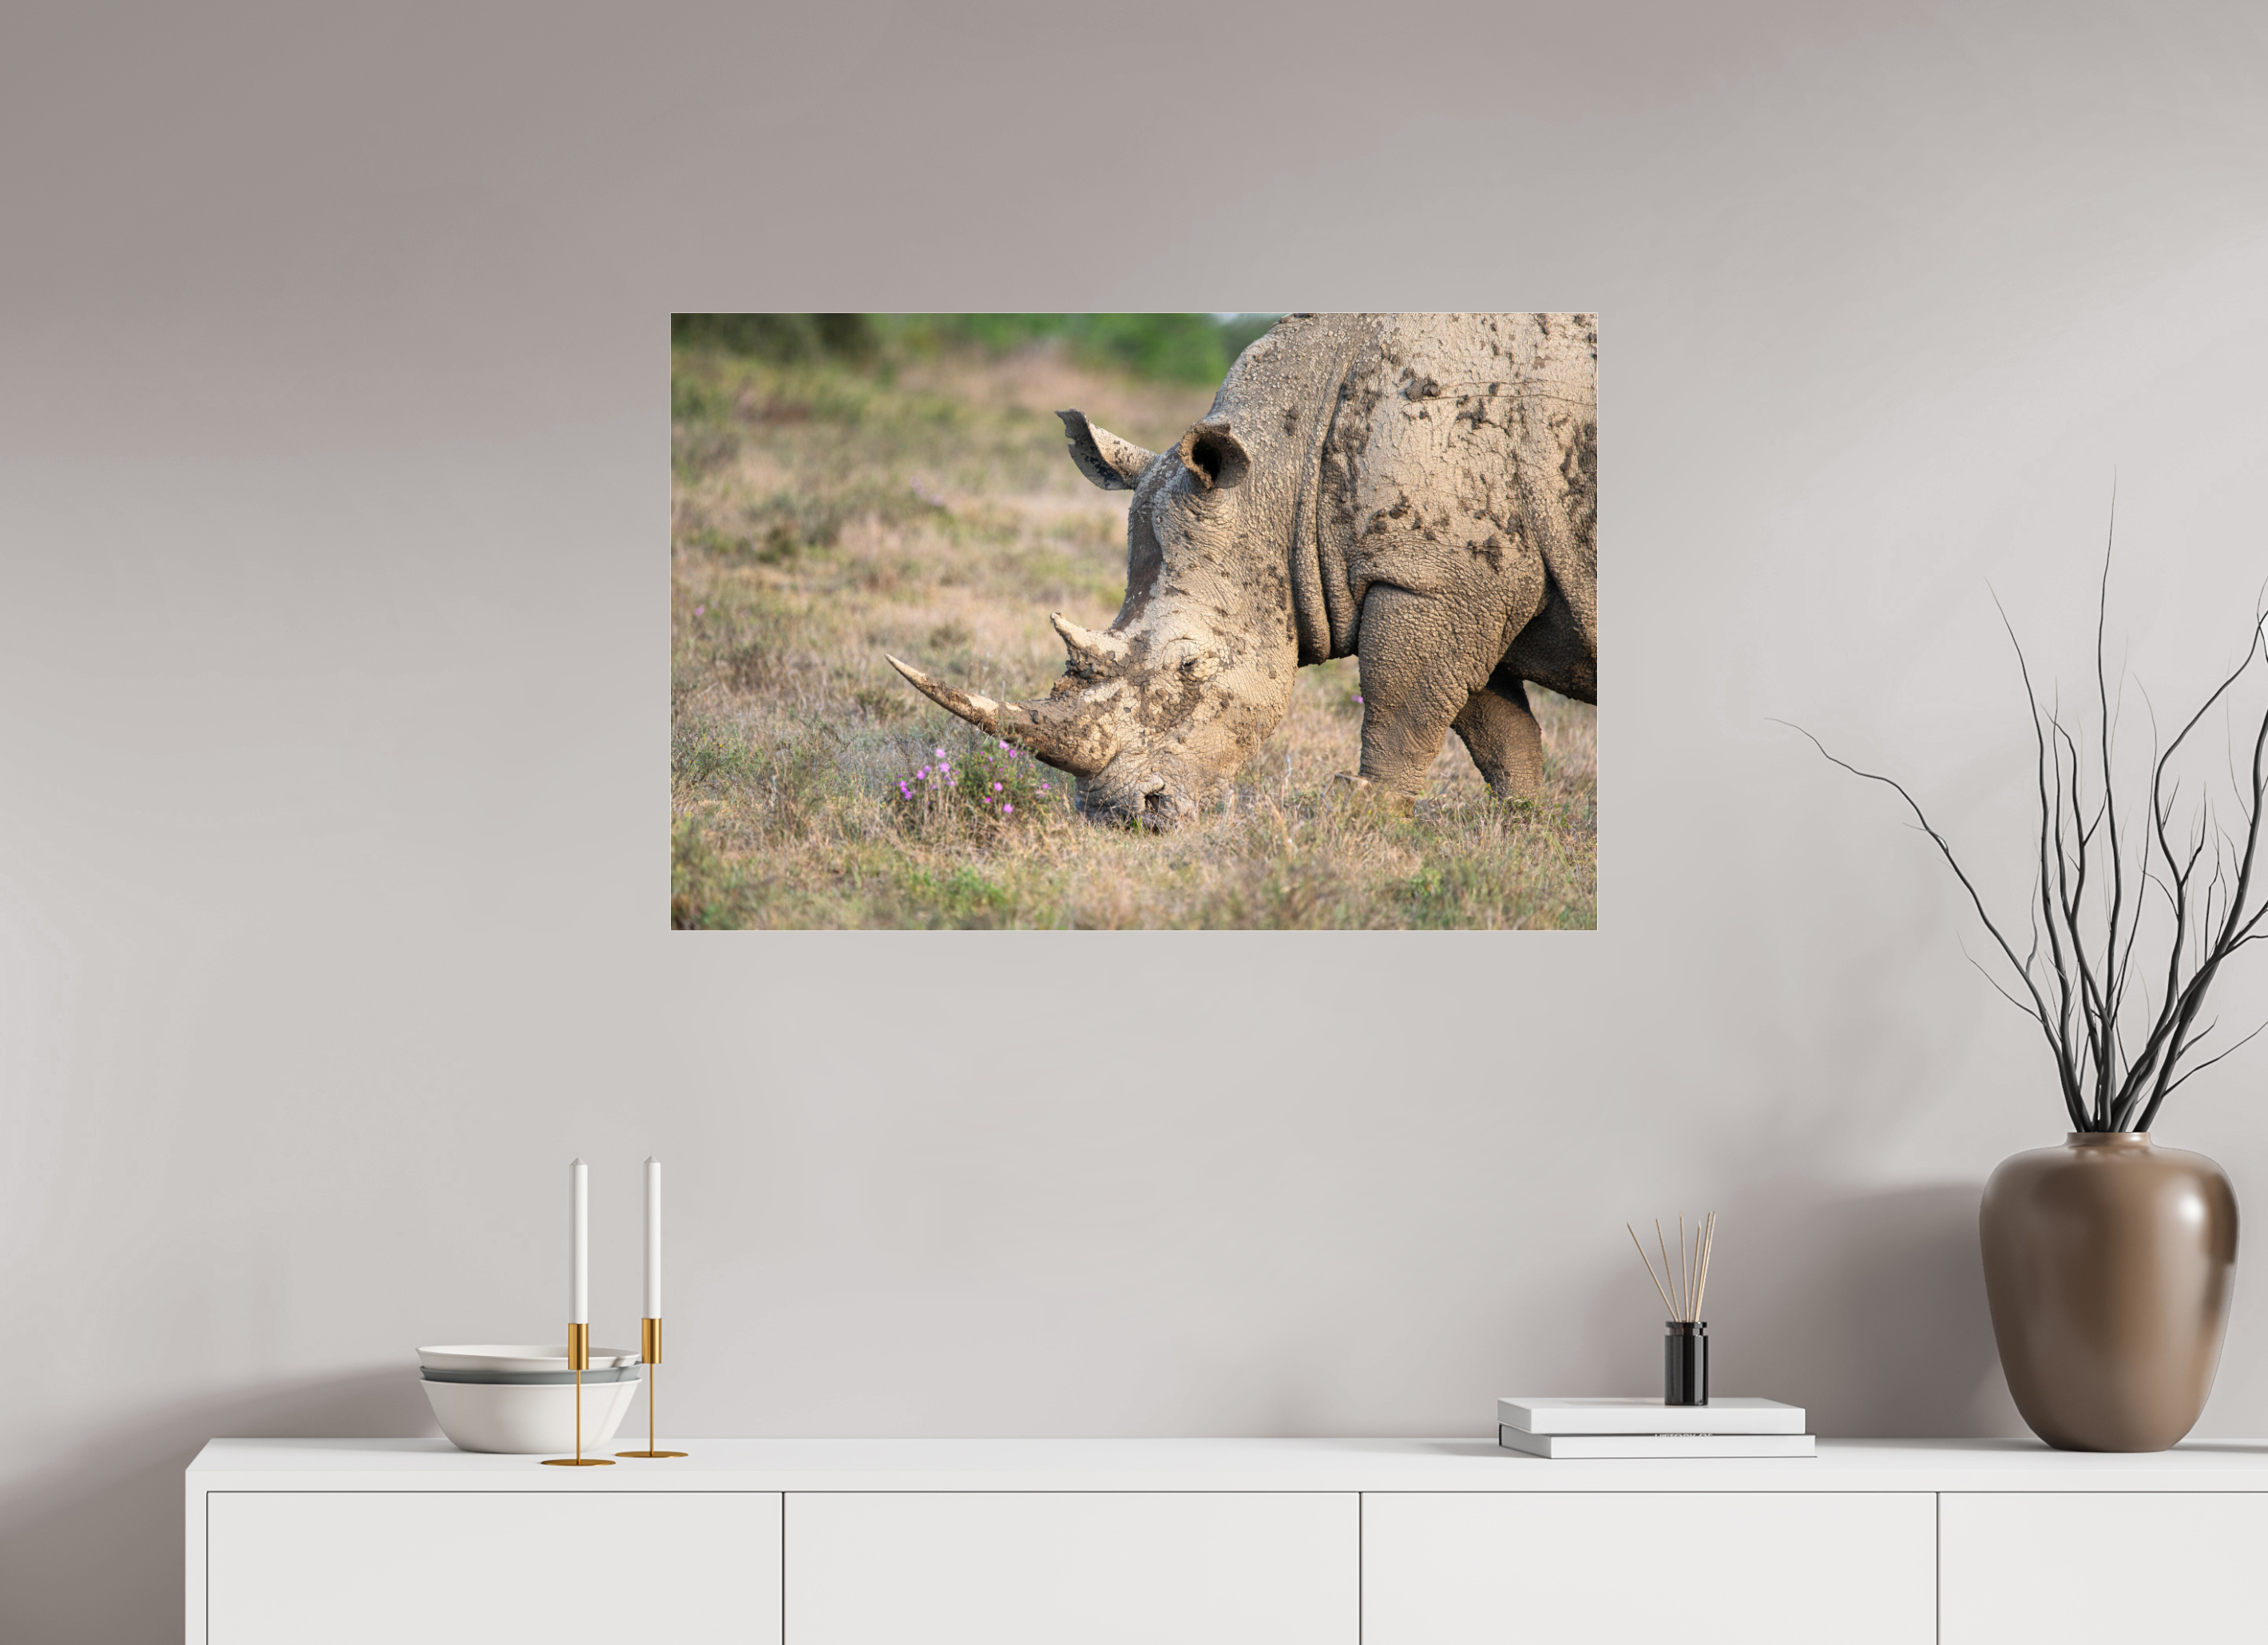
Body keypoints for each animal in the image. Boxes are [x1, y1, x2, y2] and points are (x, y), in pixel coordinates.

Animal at [888, 312, 1596, 823]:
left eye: (1191, 666)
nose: (1123, 816)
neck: (1285, 477)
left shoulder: (1432, 579)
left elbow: (1403, 705)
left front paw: (1367, 818)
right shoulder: (1463, 581)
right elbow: (1496, 728)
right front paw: (1523, 828)